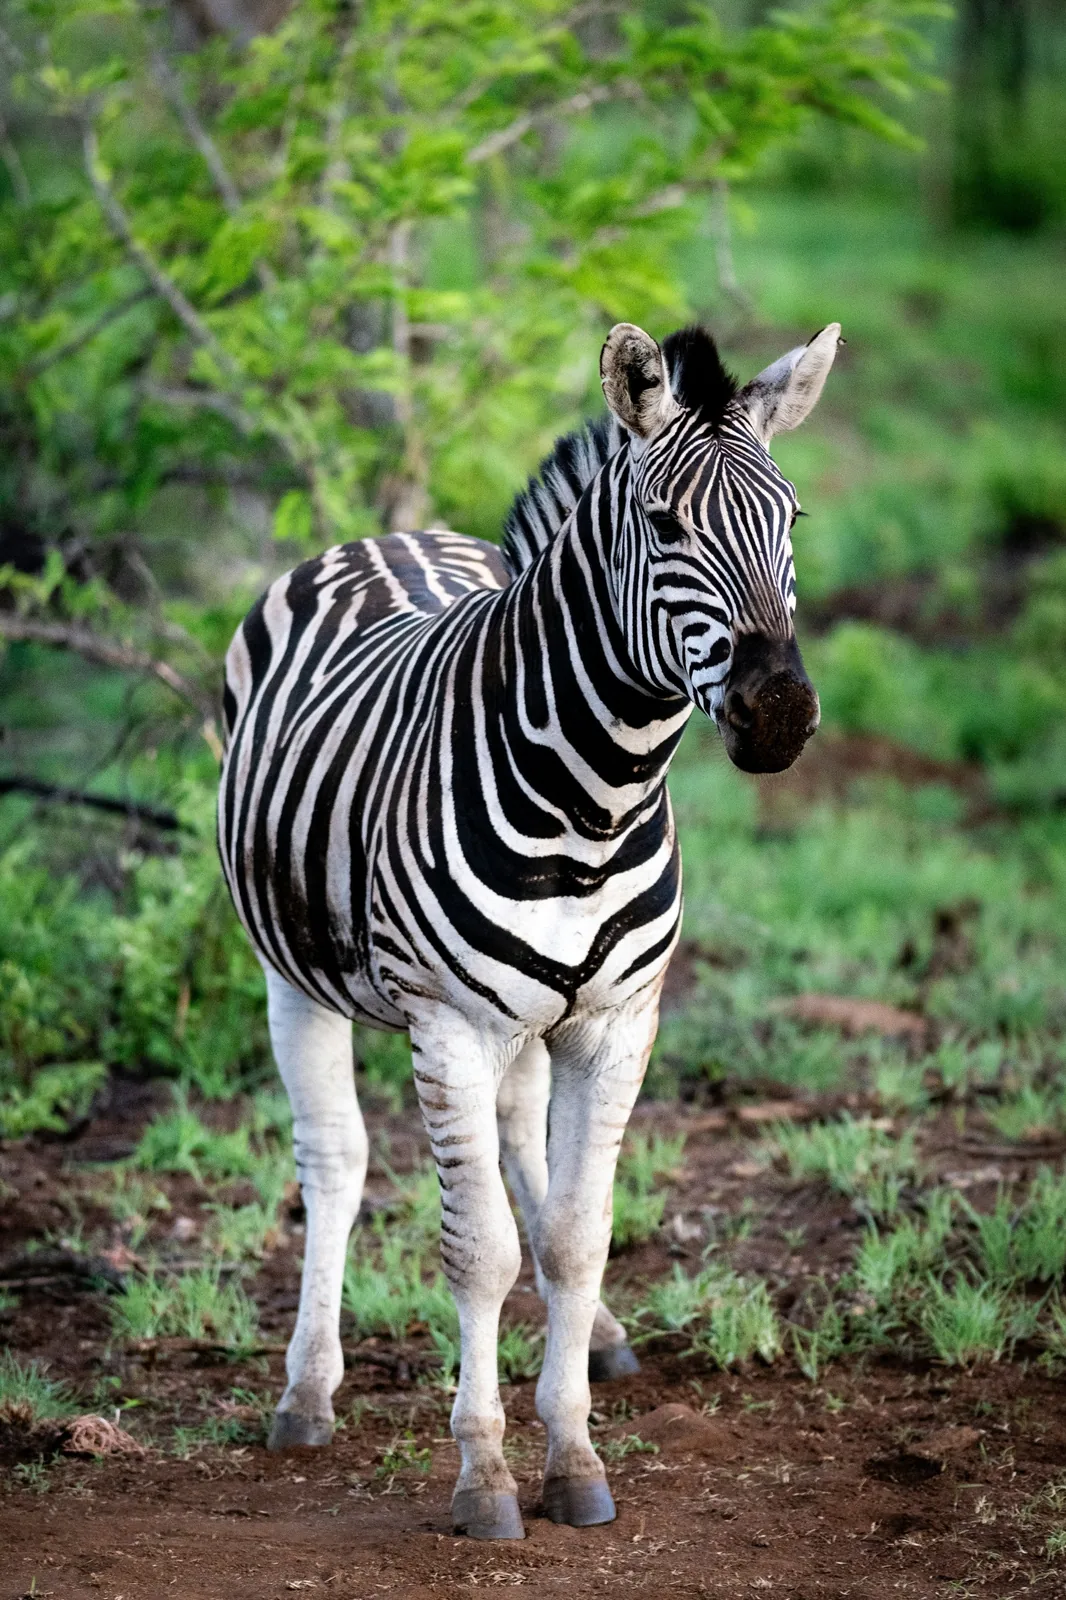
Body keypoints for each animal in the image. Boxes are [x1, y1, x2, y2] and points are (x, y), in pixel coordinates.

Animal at [218, 317, 841, 1540]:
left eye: (792, 518)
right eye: (666, 526)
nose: (781, 715)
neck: (589, 806)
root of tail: (386, 537)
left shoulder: (615, 1020)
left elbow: (573, 1234)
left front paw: (575, 1455)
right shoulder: (449, 1023)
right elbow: (479, 1251)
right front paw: (485, 1476)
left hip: (524, 1021)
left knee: (519, 1154)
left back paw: (595, 1340)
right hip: (296, 975)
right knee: (337, 1159)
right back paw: (307, 1394)